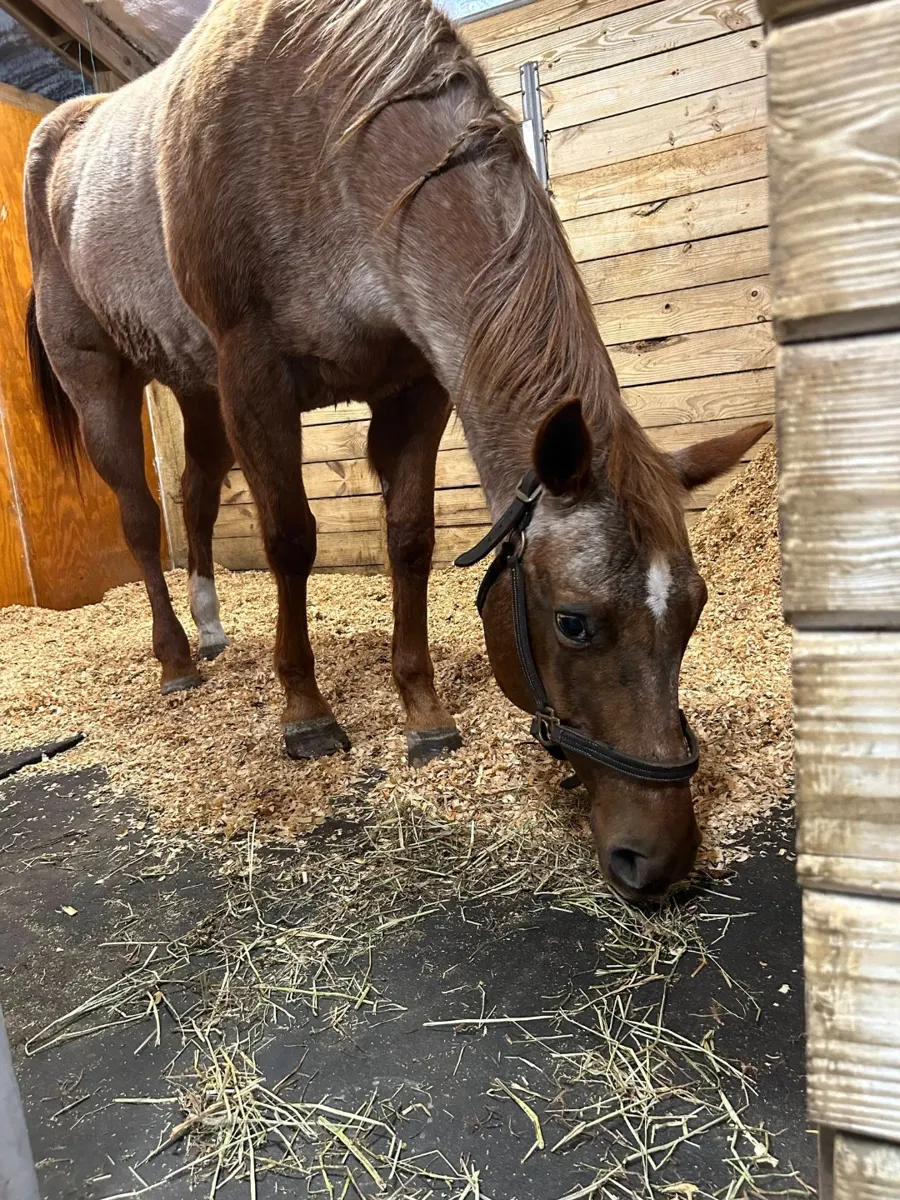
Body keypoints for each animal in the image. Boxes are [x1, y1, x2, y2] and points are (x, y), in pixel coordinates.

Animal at [23, 0, 769, 901]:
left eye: (694, 611)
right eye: (573, 623)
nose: (660, 859)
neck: (329, 139)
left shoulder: (414, 387)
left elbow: (410, 541)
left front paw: (424, 715)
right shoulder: (253, 377)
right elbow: (290, 541)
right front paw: (306, 715)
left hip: (192, 387)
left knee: (196, 494)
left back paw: (210, 630)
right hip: (105, 379)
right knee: (140, 517)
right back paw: (175, 661)